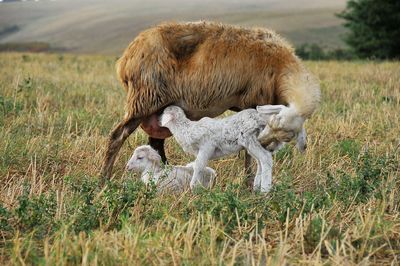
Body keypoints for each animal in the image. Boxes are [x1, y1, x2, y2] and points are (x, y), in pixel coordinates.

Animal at [101, 20, 322, 179]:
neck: (282, 68)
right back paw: (104, 180)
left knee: (156, 143)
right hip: (144, 99)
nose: (265, 144)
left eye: (288, 136)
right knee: (116, 137)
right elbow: (248, 154)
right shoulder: (254, 101)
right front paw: (249, 184)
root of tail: (126, 59)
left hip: (157, 106)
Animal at [159, 104, 290, 193]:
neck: (185, 128)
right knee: (260, 161)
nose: (159, 122)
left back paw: (265, 190)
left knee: (266, 158)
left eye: (164, 112)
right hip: (257, 143)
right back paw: (256, 187)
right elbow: (199, 166)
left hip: (250, 139)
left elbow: (198, 166)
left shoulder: (207, 146)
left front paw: (193, 187)